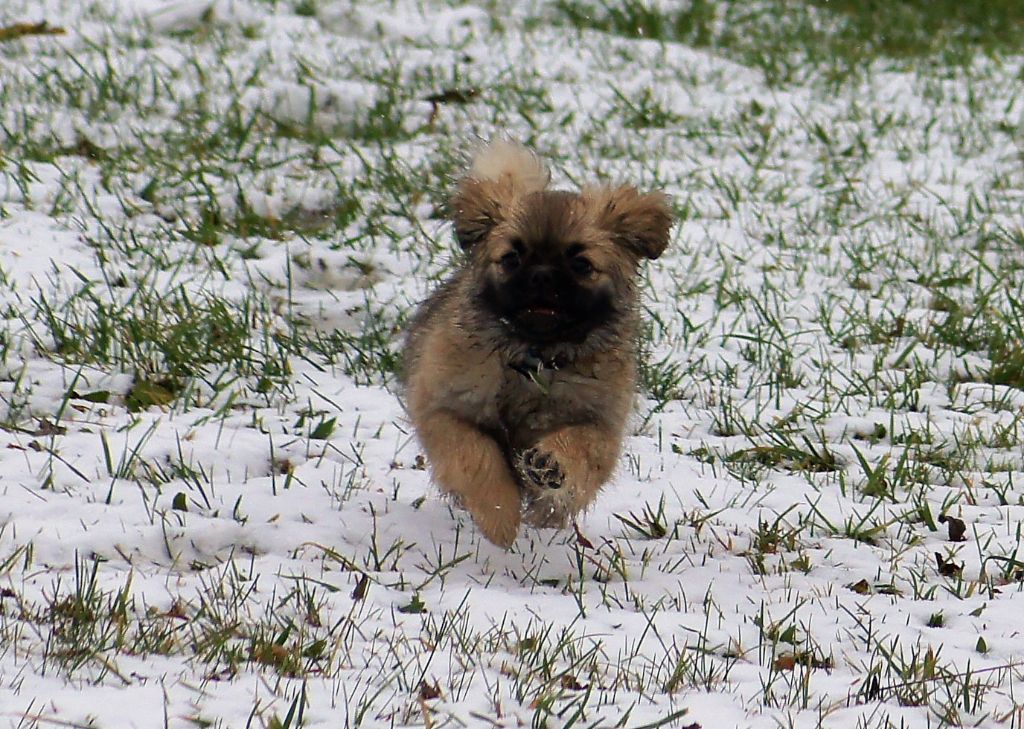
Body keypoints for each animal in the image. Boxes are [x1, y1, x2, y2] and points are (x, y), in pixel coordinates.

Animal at [403, 141, 675, 548]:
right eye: (512, 258)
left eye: (581, 264)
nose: (543, 276)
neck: (535, 361)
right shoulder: (447, 411)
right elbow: (476, 458)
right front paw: (500, 519)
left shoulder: (601, 423)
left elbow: (581, 445)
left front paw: (549, 466)